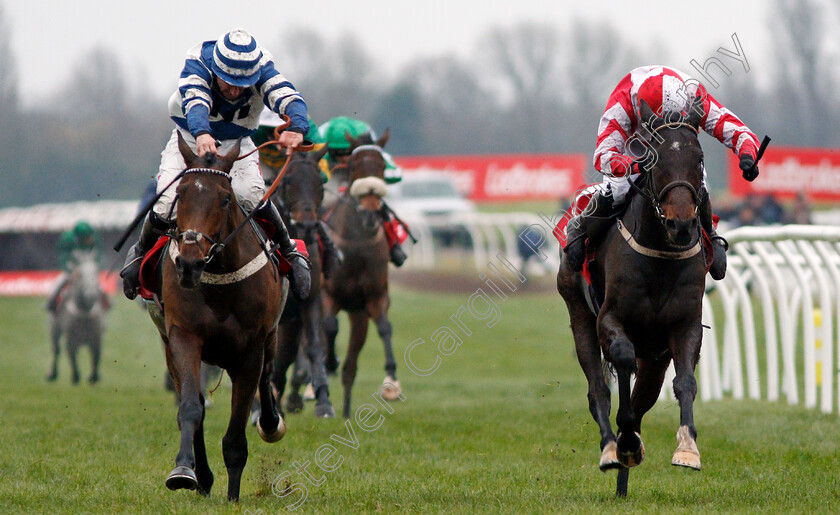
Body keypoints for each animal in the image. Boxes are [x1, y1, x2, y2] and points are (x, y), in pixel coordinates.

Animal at [47, 252, 109, 384]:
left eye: (96, 270)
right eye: (79, 273)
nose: (91, 295)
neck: (84, 312)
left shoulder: (96, 337)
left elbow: (96, 355)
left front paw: (94, 377)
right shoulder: (70, 338)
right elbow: (72, 354)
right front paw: (76, 377)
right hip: (54, 328)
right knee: (56, 349)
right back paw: (52, 374)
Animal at [158, 135, 288, 502]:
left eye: (225, 199)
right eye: (180, 192)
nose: (188, 264)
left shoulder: (250, 349)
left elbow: (235, 434)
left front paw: (233, 496)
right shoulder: (183, 336)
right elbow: (191, 408)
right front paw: (185, 472)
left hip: (268, 339)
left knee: (268, 375)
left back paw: (271, 423)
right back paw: (201, 477)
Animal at [320, 130, 402, 420]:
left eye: (381, 168)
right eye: (356, 167)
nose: (369, 214)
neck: (355, 247)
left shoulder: (374, 298)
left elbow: (386, 327)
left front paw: (391, 381)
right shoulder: (327, 293)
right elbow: (329, 326)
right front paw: (329, 361)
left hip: (358, 316)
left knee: (351, 367)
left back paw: (345, 410)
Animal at [556, 97, 708, 496]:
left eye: (699, 157)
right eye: (654, 158)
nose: (681, 224)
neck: (660, 256)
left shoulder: (684, 326)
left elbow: (685, 382)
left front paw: (687, 448)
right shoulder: (610, 318)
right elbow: (621, 362)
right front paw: (622, 440)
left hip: (655, 356)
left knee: (646, 395)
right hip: (578, 314)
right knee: (598, 388)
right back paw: (614, 447)